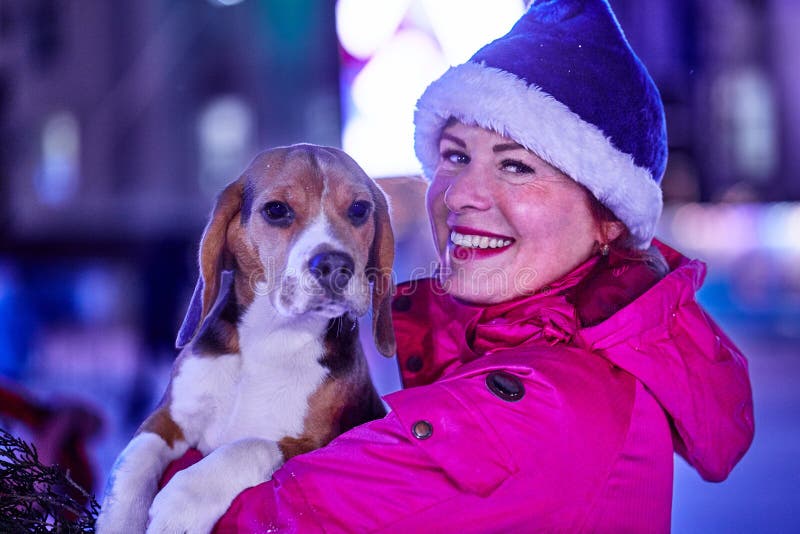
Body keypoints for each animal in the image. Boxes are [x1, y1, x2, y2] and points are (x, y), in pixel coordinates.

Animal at [97, 144, 396, 532]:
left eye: (359, 209)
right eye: (277, 210)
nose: (334, 265)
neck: (269, 340)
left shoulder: (315, 444)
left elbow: (249, 446)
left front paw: (183, 501)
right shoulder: (167, 419)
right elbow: (132, 459)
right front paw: (119, 518)